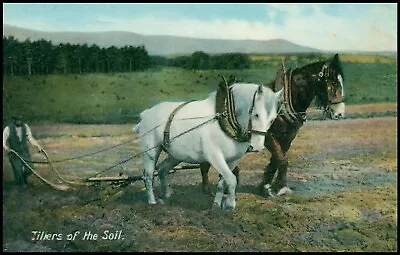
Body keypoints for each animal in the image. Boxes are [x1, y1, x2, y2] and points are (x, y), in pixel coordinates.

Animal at [133, 83, 282, 211]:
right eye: (256, 115)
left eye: (272, 119)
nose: (257, 147)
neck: (225, 121)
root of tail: (146, 113)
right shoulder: (215, 156)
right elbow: (232, 179)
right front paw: (230, 205)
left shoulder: (233, 159)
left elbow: (224, 182)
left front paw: (216, 206)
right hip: (150, 152)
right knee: (148, 175)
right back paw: (152, 202)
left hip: (176, 155)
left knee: (162, 169)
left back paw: (165, 198)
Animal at [202, 53, 346, 197]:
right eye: (334, 82)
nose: (339, 113)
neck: (282, 103)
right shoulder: (268, 136)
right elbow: (282, 159)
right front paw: (281, 187)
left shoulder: (288, 137)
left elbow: (277, 160)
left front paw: (266, 186)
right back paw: (209, 190)